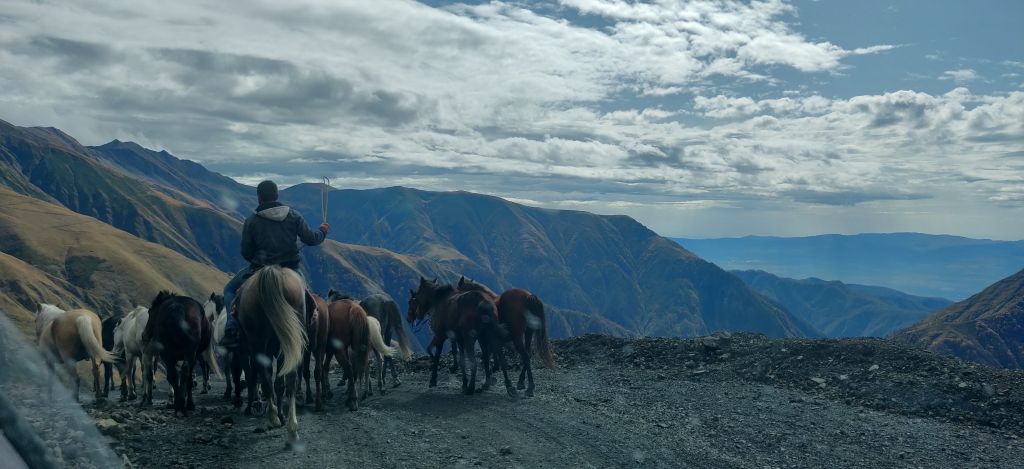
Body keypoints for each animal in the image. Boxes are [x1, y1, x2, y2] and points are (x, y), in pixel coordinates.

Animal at [236, 265, 306, 449]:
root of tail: (272, 271)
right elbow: (278, 383)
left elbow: (258, 378)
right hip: (290, 341)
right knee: (290, 380)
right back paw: (292, 431)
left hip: (258, 344)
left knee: (266, 379)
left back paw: (273, 418)